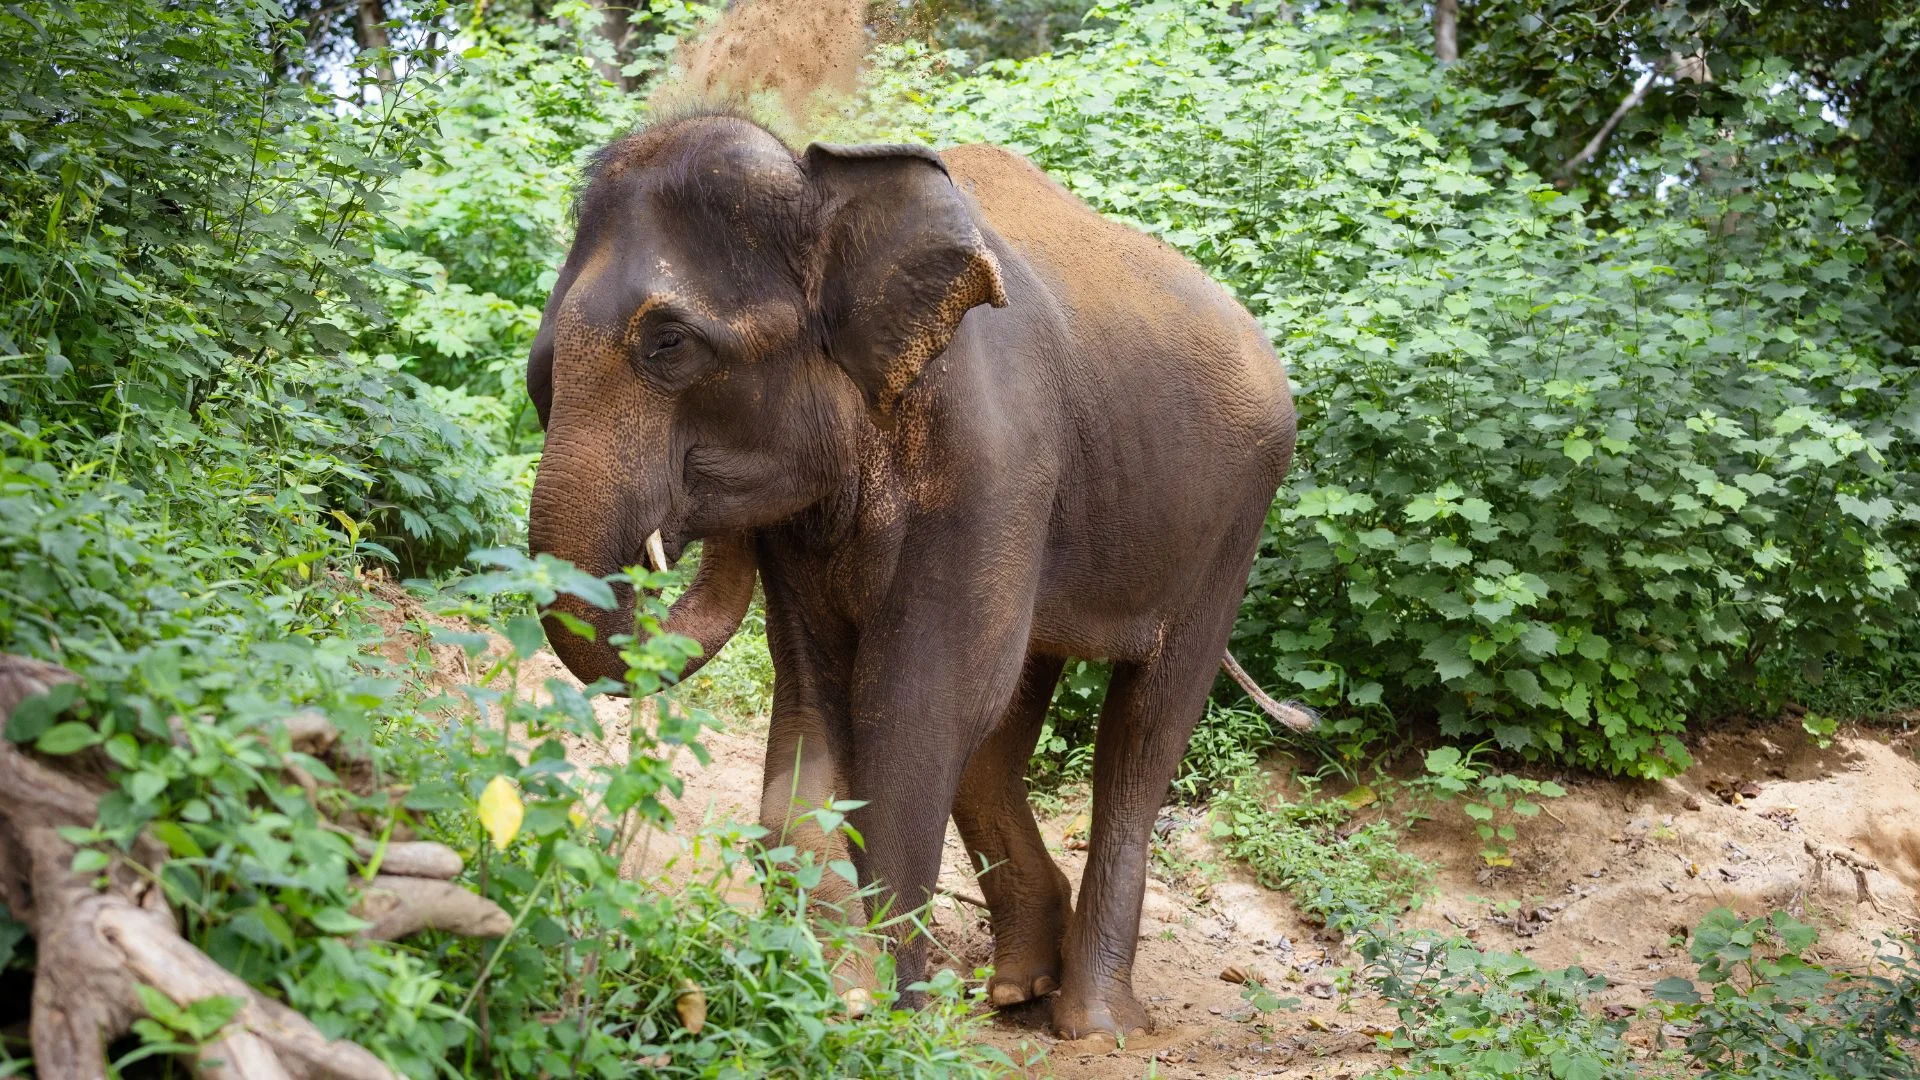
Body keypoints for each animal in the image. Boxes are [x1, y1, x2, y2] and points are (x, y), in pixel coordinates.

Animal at [525, 110, 1301, 1039]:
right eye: (538, 373)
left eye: (669, 344)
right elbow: (814, 705)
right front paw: (834, 992)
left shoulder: (995, 464)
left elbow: (918, 699)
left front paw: (885, 1016)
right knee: (1004, 728)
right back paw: (1019, 989)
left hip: (1233, 522)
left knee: (1144, 731)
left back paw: (1094, 1023)